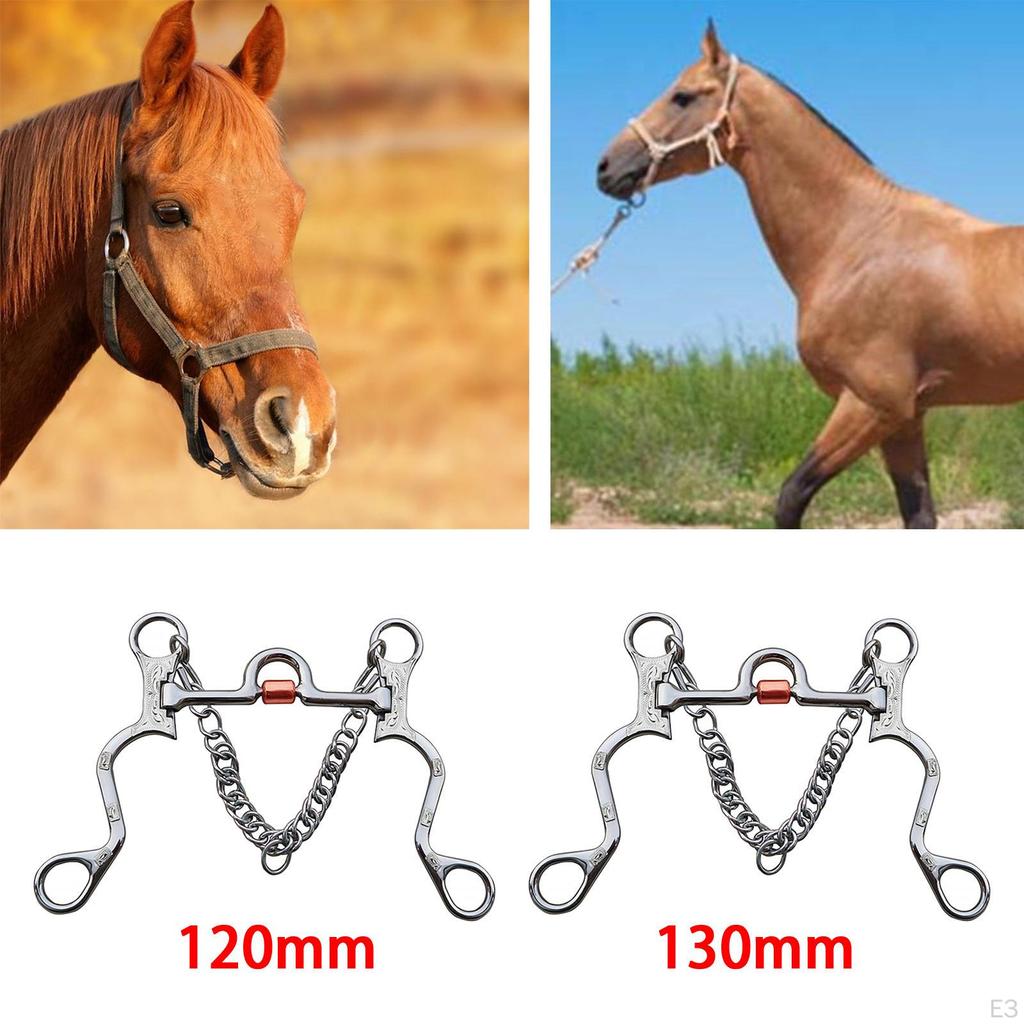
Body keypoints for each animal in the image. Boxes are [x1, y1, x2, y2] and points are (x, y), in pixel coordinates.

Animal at [596, 21, 1024, 528]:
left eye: (682, 96)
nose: (605, 167)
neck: (856, 239)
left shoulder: (871, 405)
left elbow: (790, 498)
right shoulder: (905, 418)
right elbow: (918, 516)